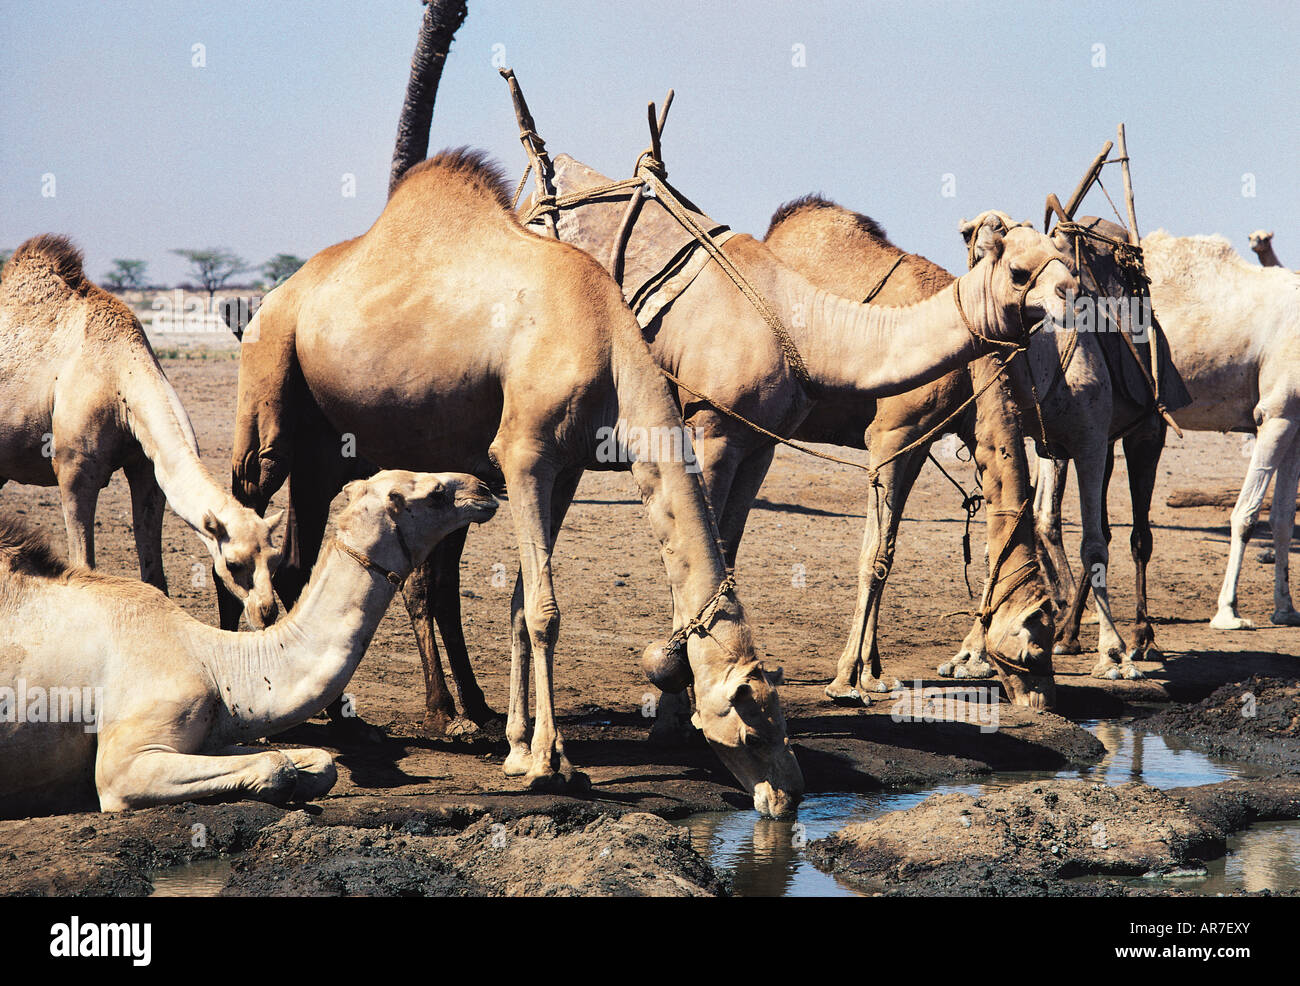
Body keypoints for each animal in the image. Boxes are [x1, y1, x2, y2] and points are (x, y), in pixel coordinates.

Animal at [0, 235, 283, 629]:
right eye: (233, 563)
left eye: (274, 558)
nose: (266, 612)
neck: (119, 379)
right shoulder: (74, 471)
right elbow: (83, 564)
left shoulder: (147, 468)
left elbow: (155, 574)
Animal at [0, 470, 496, 816]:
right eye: (435, 493)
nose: (485, 489)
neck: (214, 661)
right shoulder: (125, 761)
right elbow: (275, 766)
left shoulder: (211, 734)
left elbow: (320, 761)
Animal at [224, 152, 811, 816]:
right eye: (753, 730)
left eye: (785, 726)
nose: (789, 797)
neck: (606, 344)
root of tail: (280, 292)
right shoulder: (523, 452)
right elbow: (544, 610)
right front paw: (553, 765)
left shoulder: (567, 466)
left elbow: (518, 602)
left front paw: (516, 749)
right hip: (268, 395)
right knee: (241, 513)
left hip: (325, 447)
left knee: (296, 558)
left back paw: (343, 725)